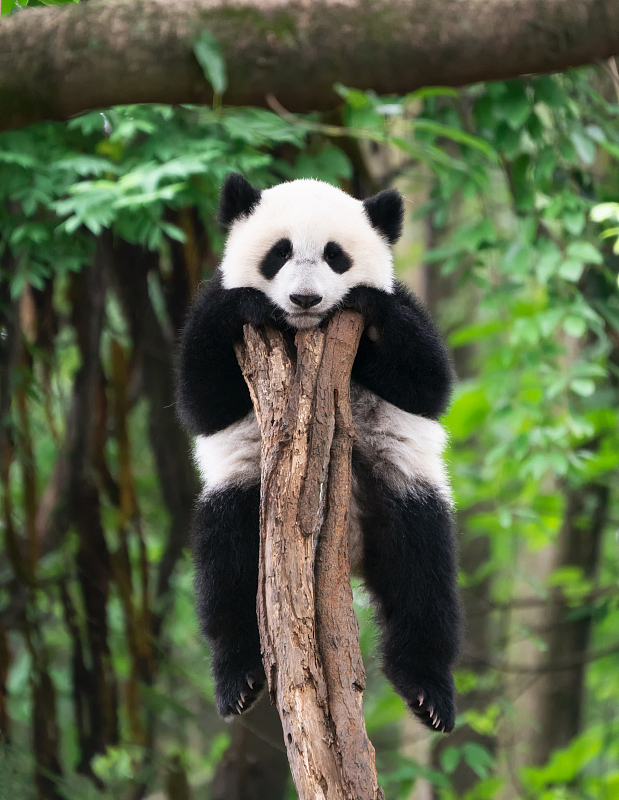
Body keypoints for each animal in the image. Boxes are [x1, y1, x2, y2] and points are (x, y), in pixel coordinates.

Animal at [177, 173, 462, 733]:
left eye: (335, 255)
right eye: (279, 253)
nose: (305, 298)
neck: (301, 332)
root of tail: (348, 546)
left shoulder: (405, 310)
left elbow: (428, 384)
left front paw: (368, 305)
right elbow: (202, 399)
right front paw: (246, 306)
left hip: (393, 486)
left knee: (423, 572)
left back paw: (427, 691)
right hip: (252, 499)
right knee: (228, 564)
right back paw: (239, 679)